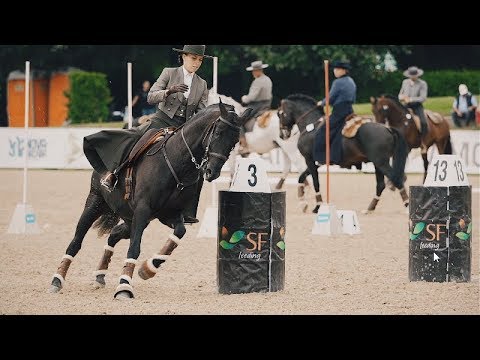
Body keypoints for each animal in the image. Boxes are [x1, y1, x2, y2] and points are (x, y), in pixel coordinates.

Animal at [278, 94, 408, 215]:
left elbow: (315, 182)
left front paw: (317, 206)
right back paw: (369, 208)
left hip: (381, 163)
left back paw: (407, 206)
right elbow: (301, 177)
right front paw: (303, 203)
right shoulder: (316, 163)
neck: (310, 126)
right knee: (381, 185)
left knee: (396, 179)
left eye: (280, 114)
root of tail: (387, 129)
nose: (282, 135)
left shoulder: (309, 160)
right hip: (378, 164)